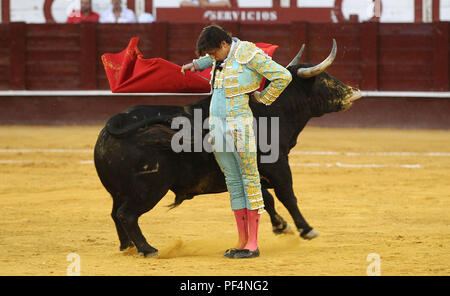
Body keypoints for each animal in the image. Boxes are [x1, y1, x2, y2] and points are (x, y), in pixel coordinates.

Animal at [94, 40, 362, 256]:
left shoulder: (255, 171)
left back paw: (128, 247)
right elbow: (287, 195)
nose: (353, 92)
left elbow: (265, 198)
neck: (271, 112)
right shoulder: (278, 166)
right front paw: (306, 229)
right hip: (149, 188)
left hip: (118, 191)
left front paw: (281, 226)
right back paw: (148, 249)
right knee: (127, 215)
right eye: (326, 79)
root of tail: (112, 125)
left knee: (115, 213)